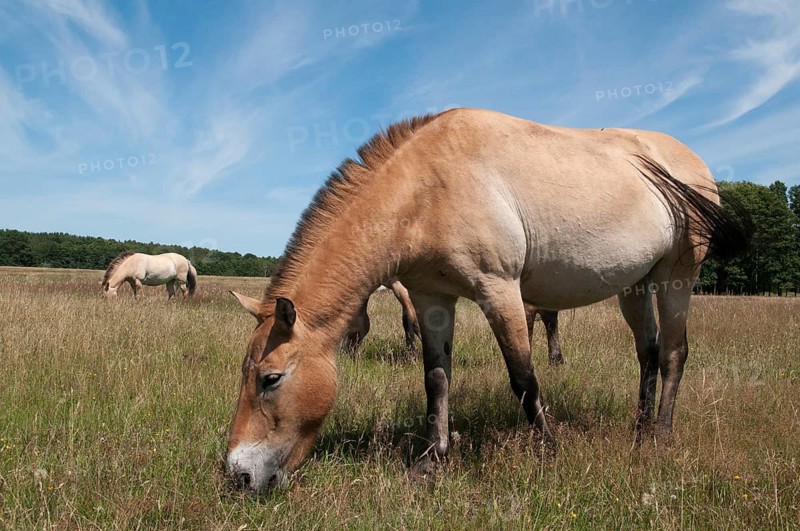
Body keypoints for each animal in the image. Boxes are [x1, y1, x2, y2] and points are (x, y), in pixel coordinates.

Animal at [225, 108, 748, 492]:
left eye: (271, 379)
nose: (238, 474)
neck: (427, 188)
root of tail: (693, 163)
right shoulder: (431, 297)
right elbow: (436, 379)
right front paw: (430, 462)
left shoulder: (499, 289)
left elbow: (523, 377)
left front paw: (548, 452)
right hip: (635, 286)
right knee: (649, 352)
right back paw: (638, 435)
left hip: (677, 277)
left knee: (674, 353)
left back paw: (659, 438)